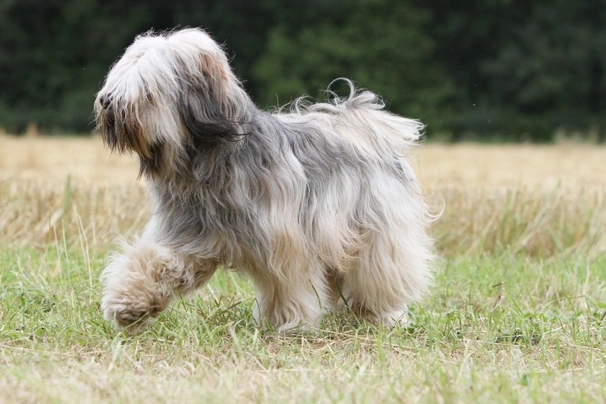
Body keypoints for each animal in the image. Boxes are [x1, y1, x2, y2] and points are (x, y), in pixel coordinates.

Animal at [94, 27, 436, 332]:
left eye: (146, 86)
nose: (106, 101)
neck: (207, 162)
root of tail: (360, 123)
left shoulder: (284, 241)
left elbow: (287, 283)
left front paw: (289, 322)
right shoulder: (189, 235)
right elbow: (154, 262)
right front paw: (129, 303)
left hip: (374, 232)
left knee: (377, 275)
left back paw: (378, 315)